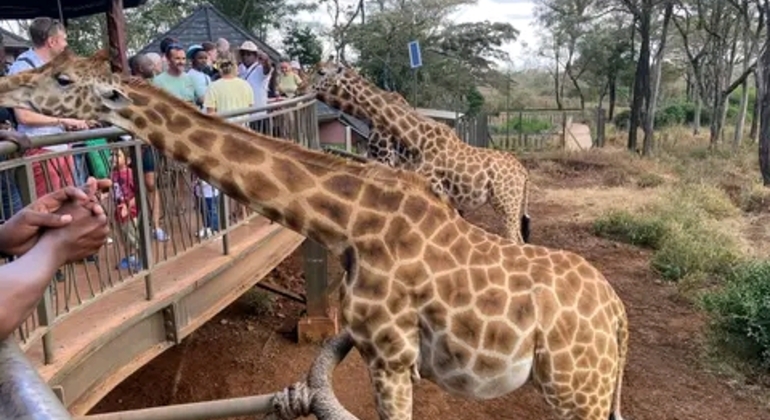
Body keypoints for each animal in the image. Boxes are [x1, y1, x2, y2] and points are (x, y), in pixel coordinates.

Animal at [310, 61, 532, 244]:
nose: (304, 87)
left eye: (320, 71)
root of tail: (524, 173)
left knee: (514, 240)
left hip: (507, 204)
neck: (418, 139)